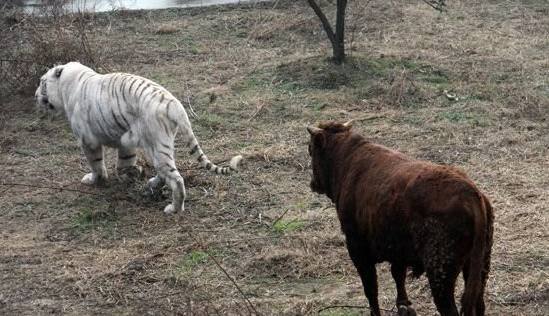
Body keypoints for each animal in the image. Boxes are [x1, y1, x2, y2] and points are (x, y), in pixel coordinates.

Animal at [34, 61, 240, 215]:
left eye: (42, 82)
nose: (35, 95)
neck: (70, 84)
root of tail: (174, 104)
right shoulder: (126, 140)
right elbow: (124, 162)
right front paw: (129, 174)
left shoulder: (87, 140)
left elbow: (96, 164)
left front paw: (95, 180)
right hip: (160, 145)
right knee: (166, 171)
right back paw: (152, 183)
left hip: (156, 144)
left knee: (176, 179)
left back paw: (174, 208)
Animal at [308, 121, 492, 316]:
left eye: (310, 150)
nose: (313, 183)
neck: (347, 159)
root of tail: (471, 194)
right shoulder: (398, 252)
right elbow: (398, 275)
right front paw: (404, 305)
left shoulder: (357, 249)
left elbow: (371, 288)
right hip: (479, 267)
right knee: (479, 303)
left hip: (441, 276)